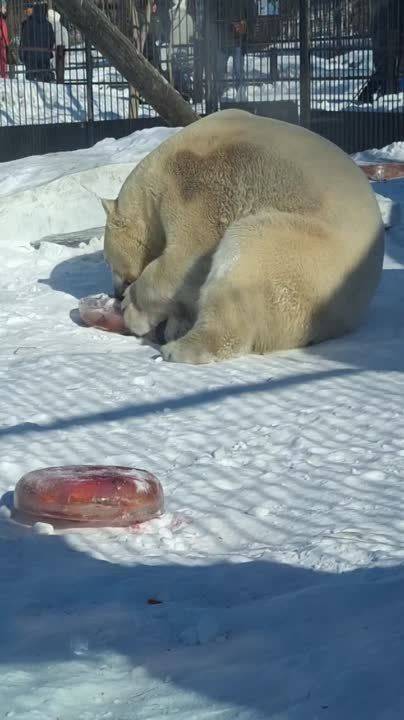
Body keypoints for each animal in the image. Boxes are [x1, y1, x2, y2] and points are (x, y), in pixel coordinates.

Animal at [100, 109, 382, 362]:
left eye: (110, 263)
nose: (116, 292)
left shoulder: (198, 186)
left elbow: (188, 256)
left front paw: (132, 307)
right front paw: (173, 322)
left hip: (307, 254)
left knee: (245, 252)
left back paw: (178, 349)